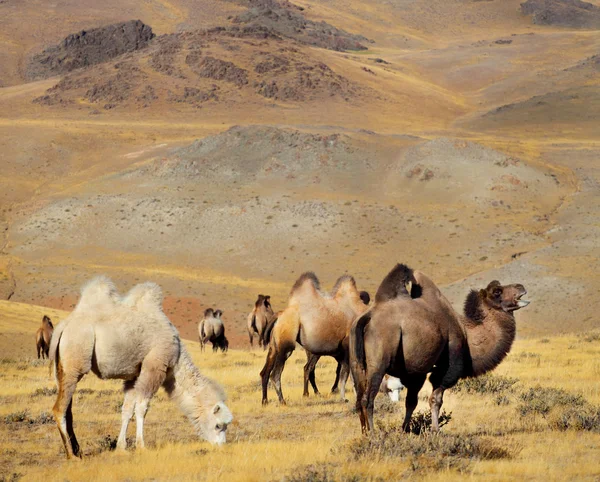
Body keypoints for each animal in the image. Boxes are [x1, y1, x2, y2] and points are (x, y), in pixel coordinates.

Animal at [49, 276, 233, 458]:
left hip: (61, 369)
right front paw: (141, 446)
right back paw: (71, 454)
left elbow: (127, 409)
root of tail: (63, 327)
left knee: (68, 410)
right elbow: (142, 408)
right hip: (75, 361)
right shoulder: (154, 368)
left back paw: (77, 450)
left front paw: (121, 447)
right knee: (59, 409)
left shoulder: (134, 376)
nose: (222, 446)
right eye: (218, 425)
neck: (177, 359)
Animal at [262, 274, 370, 404]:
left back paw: (265, 401)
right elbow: (345, 374)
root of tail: (279, 315)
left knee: (265, 372)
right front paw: (344, 398)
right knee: (276, 374)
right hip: (286, 345)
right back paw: (283, 401)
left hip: (274, 346)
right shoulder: (347, 348)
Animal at [352, 264, 528, 434]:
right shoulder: (446, 368)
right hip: (379, 360)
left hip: (356, 363)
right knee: (368, 398)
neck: (467, 335)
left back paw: (364, 432)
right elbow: (435, 399)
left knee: (359, 398)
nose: (521, 287)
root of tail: (368, 317)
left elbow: (411, 402)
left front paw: (405, 430)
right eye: (497, 291)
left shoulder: (418, 371)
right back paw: (374, 434)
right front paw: (435, 431)